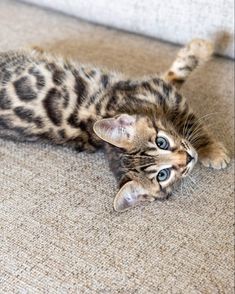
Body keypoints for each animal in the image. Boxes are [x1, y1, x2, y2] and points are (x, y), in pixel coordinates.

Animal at [0, 39, 229, 211]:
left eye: (161, 142)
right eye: (163, 175)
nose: (188, 158)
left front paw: (199, 47)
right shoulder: (159, 88)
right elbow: (182, 90)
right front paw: (213, 152)